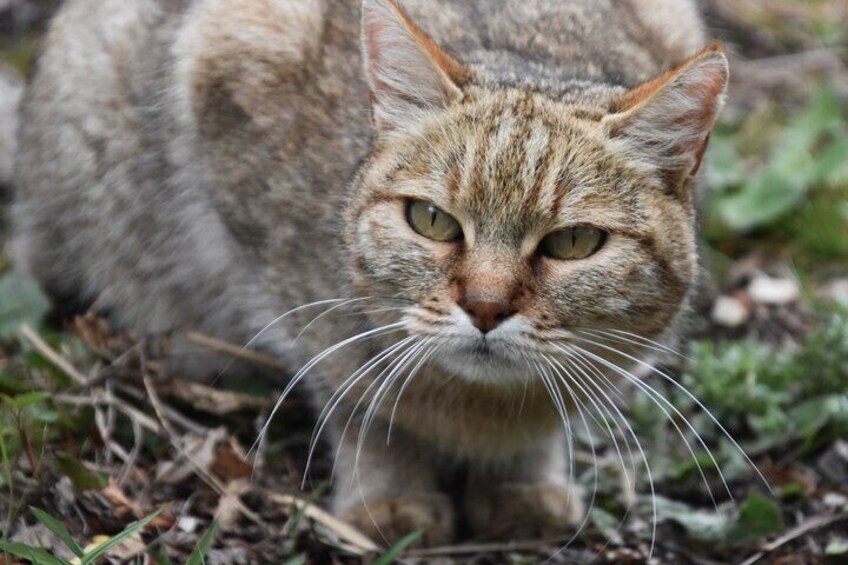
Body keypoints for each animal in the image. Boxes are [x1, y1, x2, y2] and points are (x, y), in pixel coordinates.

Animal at [9, 0, 732, 548]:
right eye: (432, 221)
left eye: (574, 241)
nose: (486, 306)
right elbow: (359, 393)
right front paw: (390, 493)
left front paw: (522, 481)